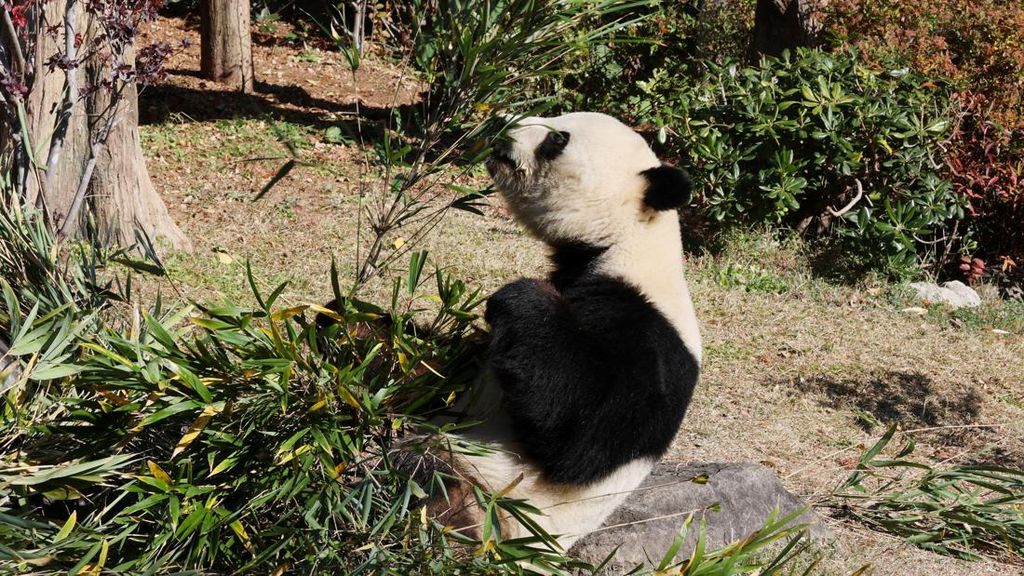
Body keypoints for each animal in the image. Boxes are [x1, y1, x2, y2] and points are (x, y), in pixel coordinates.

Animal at [432, 111, 702, 550]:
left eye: (557, 139)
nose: (502, 124)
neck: (625, 242)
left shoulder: (648, 332)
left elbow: (584, 436)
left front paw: (524, 297)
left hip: (490, 502)